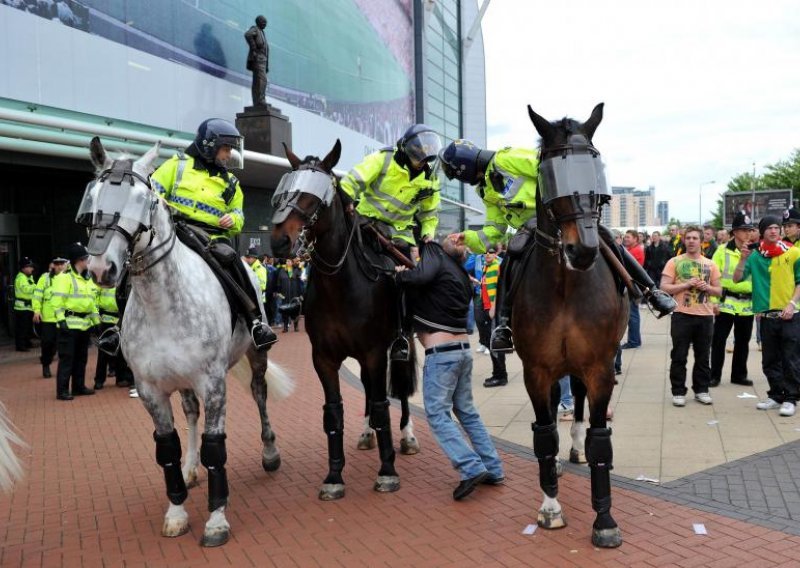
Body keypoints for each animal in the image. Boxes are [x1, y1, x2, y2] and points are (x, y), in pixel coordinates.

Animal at [81, 138, 292, 544]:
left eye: (143, 198)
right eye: (93, 195)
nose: (101, 268)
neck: (161, 304)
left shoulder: (213, 383)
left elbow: (216, 448)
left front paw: (216, 520)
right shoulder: (151, 390)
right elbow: (167, 448)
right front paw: (177, 512)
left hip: (255, 354)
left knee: (259, 394)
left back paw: (270, 452)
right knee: (192, 413)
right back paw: (192, 469)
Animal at [270, 140, 418, 500]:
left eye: (314, 196)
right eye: (283, 189)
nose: (279, 241)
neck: (342, 287)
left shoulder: (376, 352)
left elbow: (382, 405)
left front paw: (387, 471)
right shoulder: (324, 358)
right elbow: (334, 412)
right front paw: (334, 476)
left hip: (400, 344)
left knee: (399, 389)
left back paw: (407, 436)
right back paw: (367, 434)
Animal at [512, 104, 632, 548]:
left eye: (594, 168)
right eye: (550, 173)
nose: (582, 250)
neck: (565, 285)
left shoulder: (599, 369)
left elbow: (600, 441)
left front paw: (605, 520)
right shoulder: (536, 370)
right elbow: (544, 433)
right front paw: (550, 506)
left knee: (577, 399)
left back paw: (577, 447)